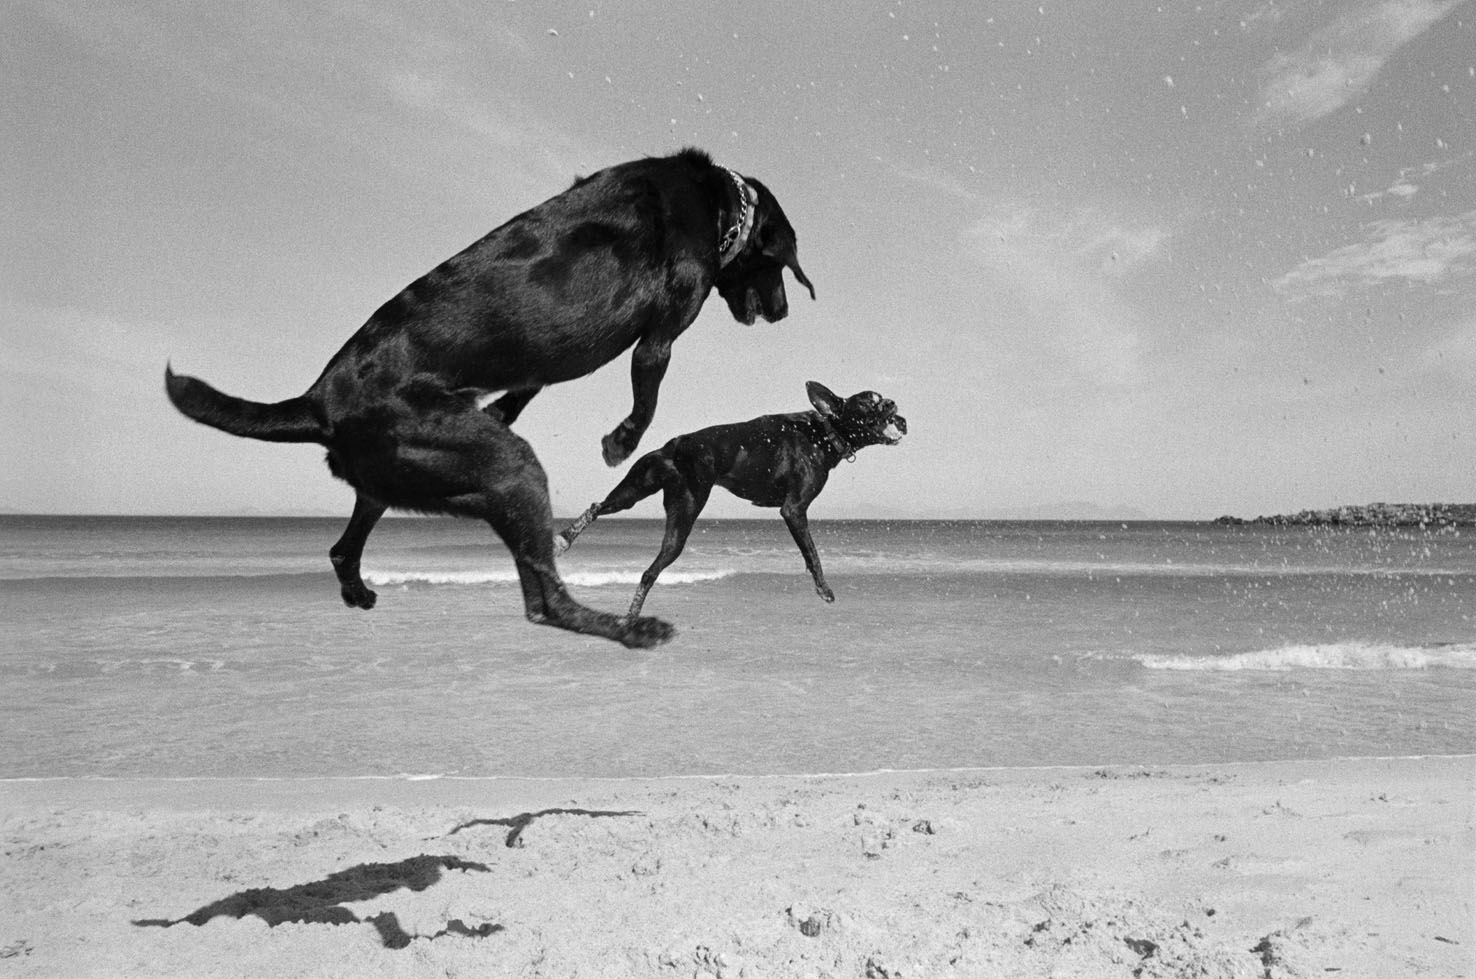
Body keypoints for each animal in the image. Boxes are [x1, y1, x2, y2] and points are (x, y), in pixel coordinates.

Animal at [166, 147, 814, 649]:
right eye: (782, 267)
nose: (785, 311)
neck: (714, 202)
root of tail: (319, 401)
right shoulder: (661, 335)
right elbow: (646, 401)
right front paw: (620, 442)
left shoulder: (536, 368)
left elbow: (525, 387)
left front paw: (505, 408)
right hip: (509, 467)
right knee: (546, 601)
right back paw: (634, 631)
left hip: (415, 479)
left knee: (347, 548)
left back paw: (357, 590)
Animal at [554, 380, 897, 617]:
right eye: (870, 401)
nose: (893, 402)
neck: (825, 431)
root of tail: (675, 446)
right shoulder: (794, 510)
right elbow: (812, 554)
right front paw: (823, 589)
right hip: (684, 514)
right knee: (648, 571)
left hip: (634, 492)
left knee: (597, 508)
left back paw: (566, 541)